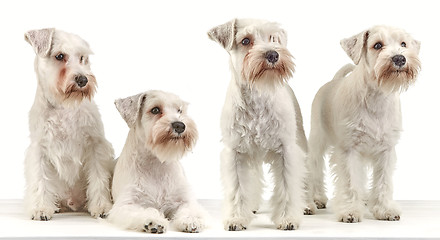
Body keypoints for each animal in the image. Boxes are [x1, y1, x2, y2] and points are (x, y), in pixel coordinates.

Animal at [24, 28, 115, 221]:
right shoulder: (39, 149)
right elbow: (40, 179)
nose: (83, 79)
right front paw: (41, 208)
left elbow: (98, 178)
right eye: (59, 56)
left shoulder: (96, 145)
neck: (64, 106)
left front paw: (102, 207)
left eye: (82, 57)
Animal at [109, 90, 207, 234]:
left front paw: (191, 220)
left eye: (179, 110)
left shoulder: (184, 199)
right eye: (155, 110)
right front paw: (153, 221)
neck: (156, 163)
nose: (180, 125)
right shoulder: (126, 204)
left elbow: (189, 209)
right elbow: (144, 211)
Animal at [208, 19, 308, 231]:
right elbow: (238, 189)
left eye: (272, 37)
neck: (258, 93)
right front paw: (237, 218)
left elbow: (288, 185)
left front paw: (288, 218)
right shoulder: (235, 152)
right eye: (246, 40)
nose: (273, 54)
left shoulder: (286, 151)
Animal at [308, 25, 422, 222]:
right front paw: (350, 211)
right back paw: (316, 199)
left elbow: (383, 182)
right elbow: (350, 182)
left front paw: (385, 209)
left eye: (403, 44)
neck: (377, 96)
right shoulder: (349, 150)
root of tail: (333, 81)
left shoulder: (386, 150)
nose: (399, 58)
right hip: (317, 141)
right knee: (315, 168)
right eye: (377, 45)